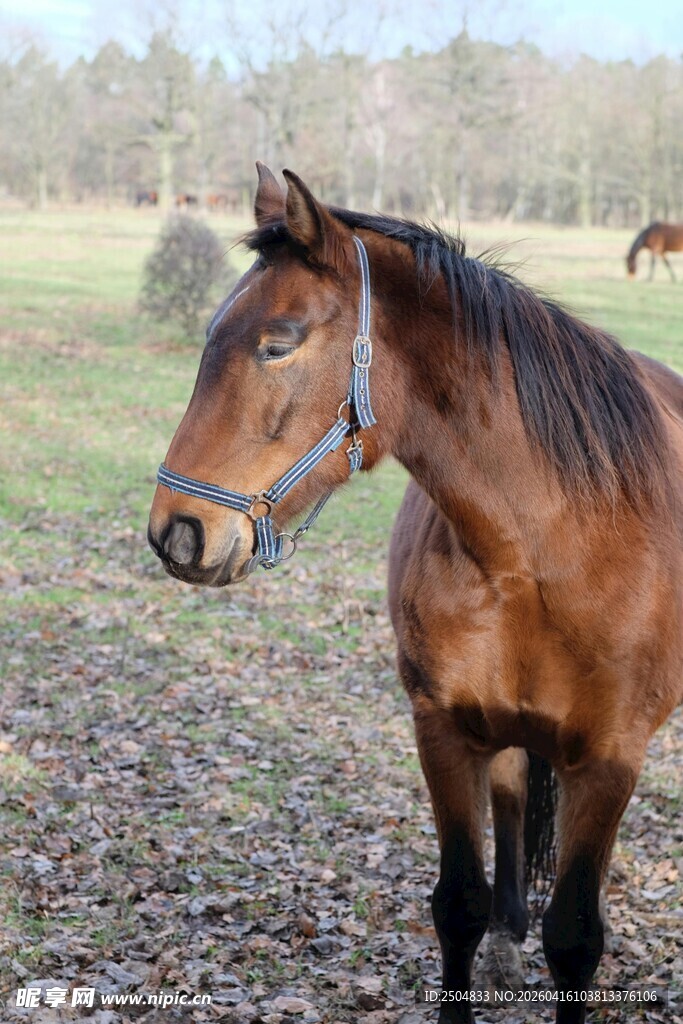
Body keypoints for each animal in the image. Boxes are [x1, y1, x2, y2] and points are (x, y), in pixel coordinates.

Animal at [148, 164, 683, 1024]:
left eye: (277, 344)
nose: (178, 532)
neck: (543, 550)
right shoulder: (442, 727)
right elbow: (458, 904)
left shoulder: (610, 757)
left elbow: (575, 936)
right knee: (510, 802)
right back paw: (506, 937)